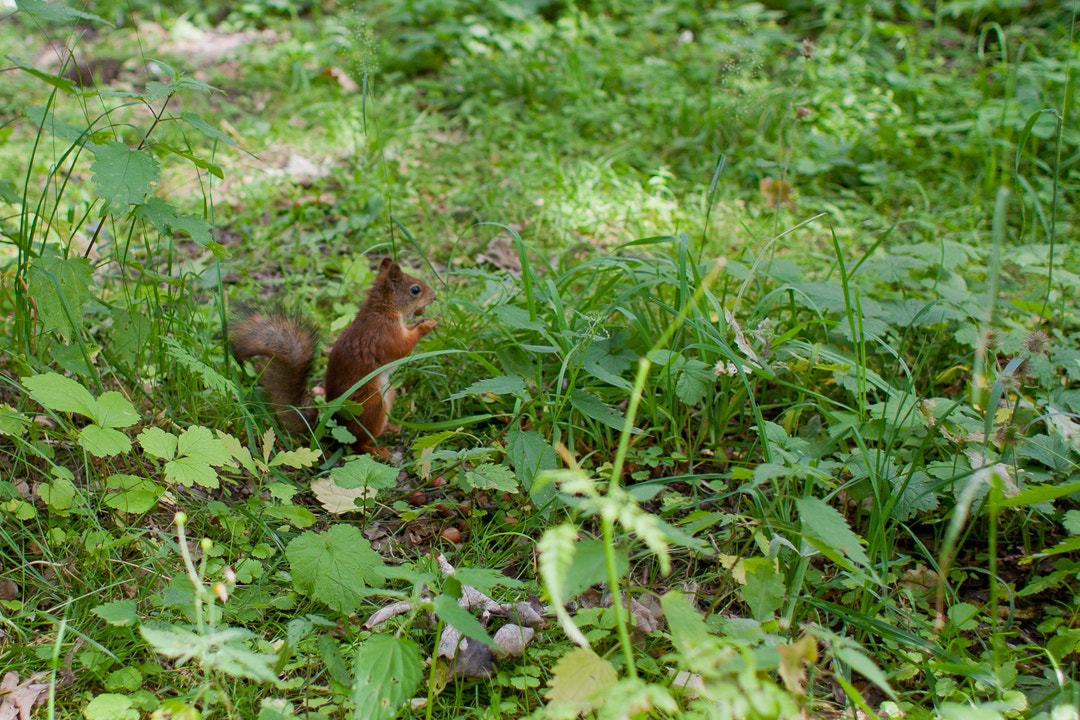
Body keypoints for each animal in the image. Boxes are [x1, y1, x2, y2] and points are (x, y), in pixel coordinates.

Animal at [230, 257, 438, 459]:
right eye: (415, 290)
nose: (435, 296)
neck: (383, 309)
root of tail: (332, 423)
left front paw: (421, 322)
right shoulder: (384, 334)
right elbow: (402, 347)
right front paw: (426, 326)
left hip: (389, 393)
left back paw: (391, 427)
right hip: (371, 407)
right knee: (357, 444)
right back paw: (377, 450)